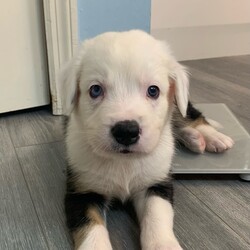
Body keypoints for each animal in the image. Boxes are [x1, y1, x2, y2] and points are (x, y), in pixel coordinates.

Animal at [59, 30, 233, 249]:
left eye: (153, 90)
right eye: (95, 90)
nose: (126, 131)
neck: (124, 162)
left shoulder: (156, 182)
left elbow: (156, 216)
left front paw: (164, 245)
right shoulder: (82, 191)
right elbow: (91, 229)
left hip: (179, 103)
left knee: (188, 115)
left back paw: (211, 137)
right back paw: (195, 139)